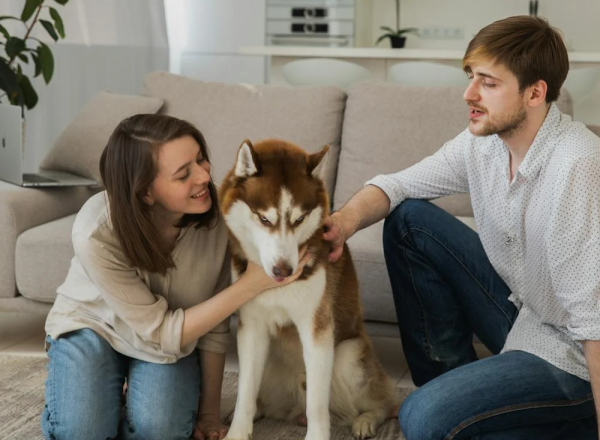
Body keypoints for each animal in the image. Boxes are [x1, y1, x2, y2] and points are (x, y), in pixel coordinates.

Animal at [220, 138, 398, 440]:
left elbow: (317, 403)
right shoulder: (251, 327)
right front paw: (237, 431)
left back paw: (367, 420)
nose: (284, 270)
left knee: (387, 403)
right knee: (258, 396)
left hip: (348, 355)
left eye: (299, 219)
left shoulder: (317, 329)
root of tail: (293, 411)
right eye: (264, 219)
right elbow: (245, 391)